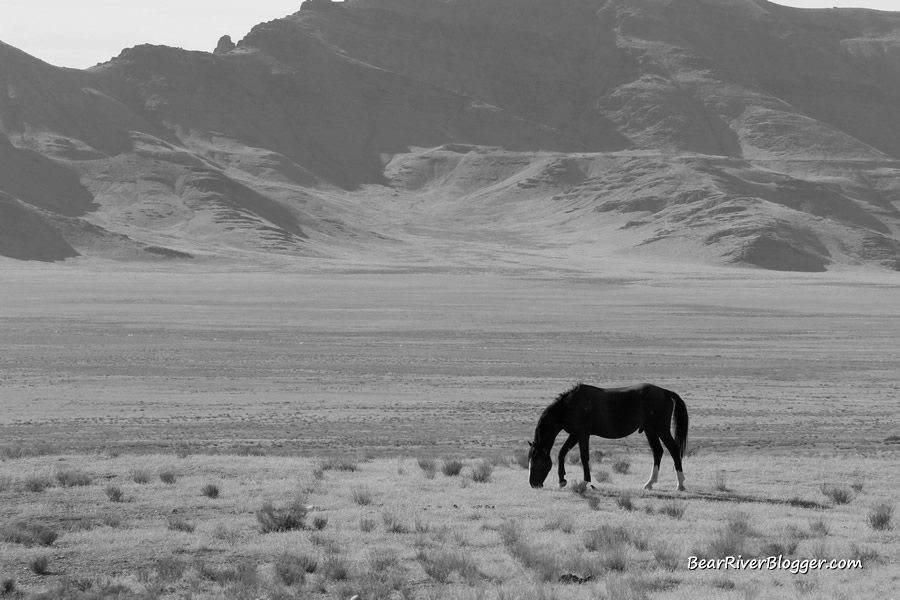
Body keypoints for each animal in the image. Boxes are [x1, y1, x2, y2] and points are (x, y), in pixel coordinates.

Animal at [528, 384, 688, 492]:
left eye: (538, 464)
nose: (533, 484)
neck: (569, 406)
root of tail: (664, 392)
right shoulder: (575, 434)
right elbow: (562, 453)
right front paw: (562, 480)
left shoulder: (582, 434)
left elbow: (584, 457)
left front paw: (585, 482)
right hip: (650, 430)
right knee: (658, 452)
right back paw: (650, 483)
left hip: (661, 429)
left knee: (674, 449)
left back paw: (680, 484)